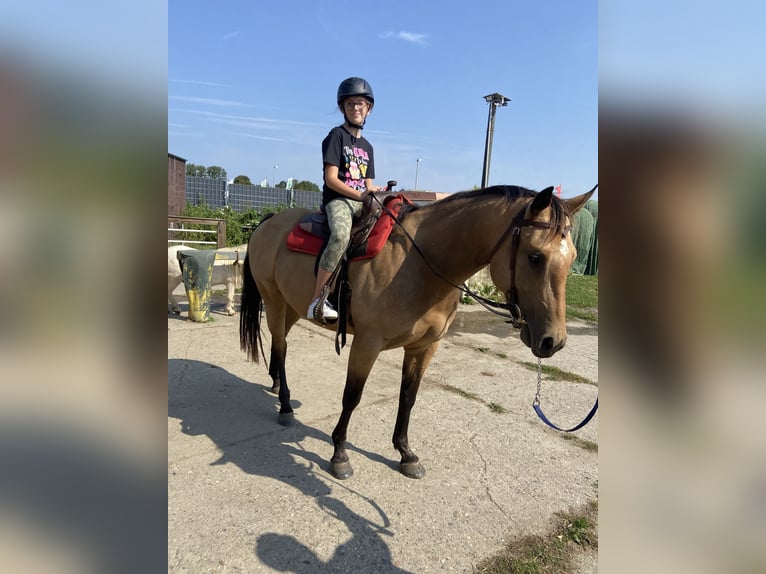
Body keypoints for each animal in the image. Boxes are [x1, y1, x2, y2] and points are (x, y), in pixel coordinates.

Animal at [238, 186, 592, 482]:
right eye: (535, 256)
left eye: (573, 258)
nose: (553, 341)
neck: (420, 264)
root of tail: (269, 222)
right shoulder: (367, 343)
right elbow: (352, 397)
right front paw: (339, 454)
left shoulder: (424, 347)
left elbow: (408, 397)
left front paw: (405, 453)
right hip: (274, 301)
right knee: (281, 346)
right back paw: (285, 405)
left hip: (293, 306)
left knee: (280, 345)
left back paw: (276, 386)